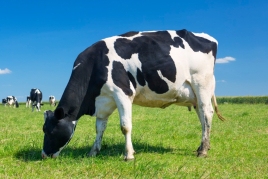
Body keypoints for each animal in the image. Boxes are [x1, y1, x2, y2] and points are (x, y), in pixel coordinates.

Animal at [42, 29, 226, 159]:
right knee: (202, 117)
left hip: (202, 84)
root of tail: (207, 37)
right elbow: (99, 128)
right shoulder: (103, 101)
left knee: (207, 113)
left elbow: (125, 126)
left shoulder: (123, 93)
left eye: (49, 131)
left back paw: (203, 151)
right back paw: (204, 146)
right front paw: (93, 151)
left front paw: (128, 155)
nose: (44, 155)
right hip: (195, 94)